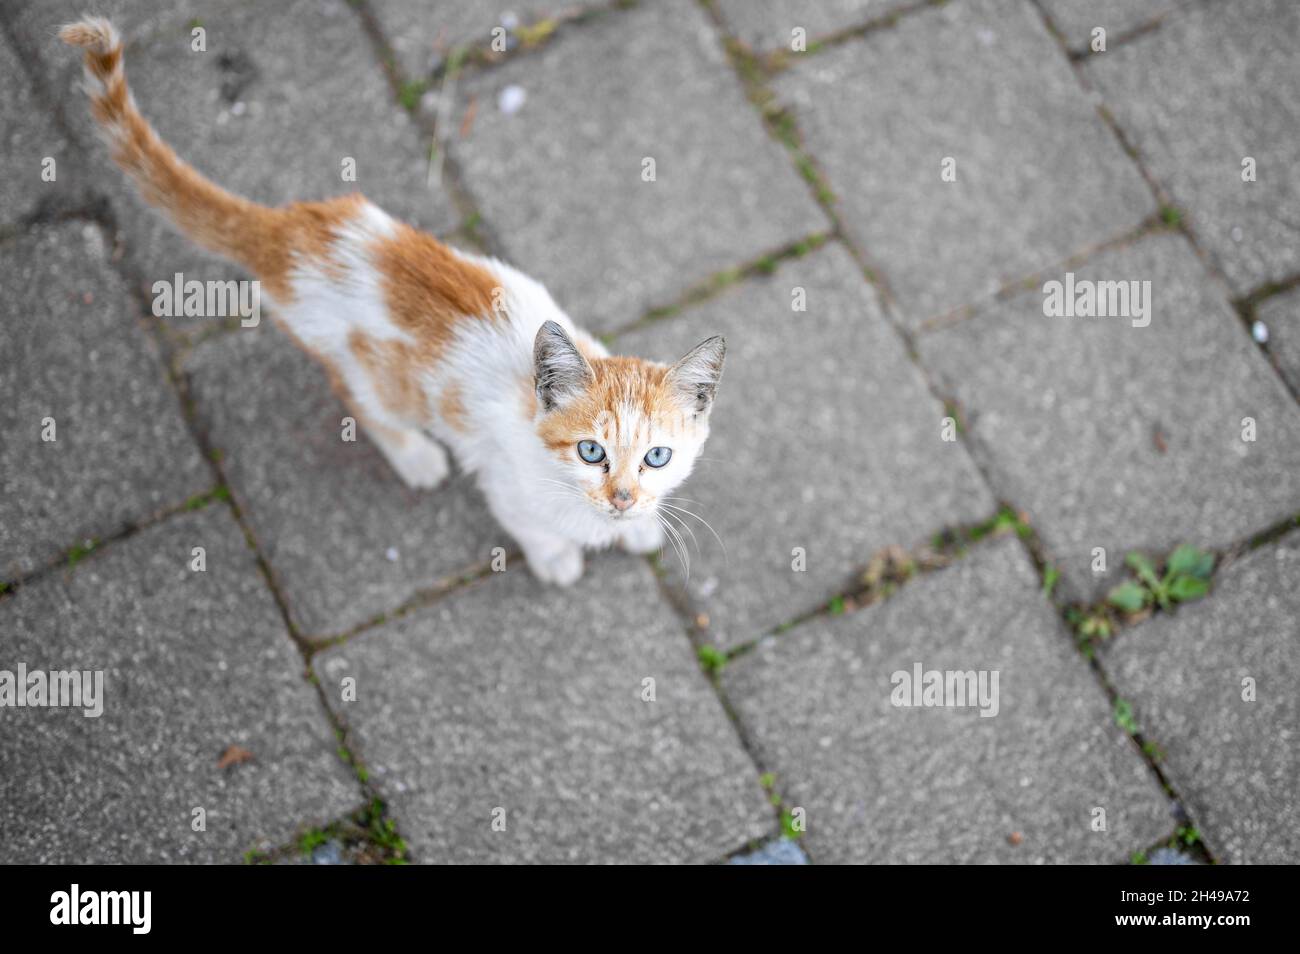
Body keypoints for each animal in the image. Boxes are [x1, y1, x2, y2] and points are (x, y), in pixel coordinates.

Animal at [61, 18, 728, 587]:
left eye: (658, 457)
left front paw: (641, 528)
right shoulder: (505, 483)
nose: (623, 498)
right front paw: (557, 558)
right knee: (356, 396)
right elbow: (531, 526)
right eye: (592, 452)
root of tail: (293, 229)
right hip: (371, 371)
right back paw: (415, 457)